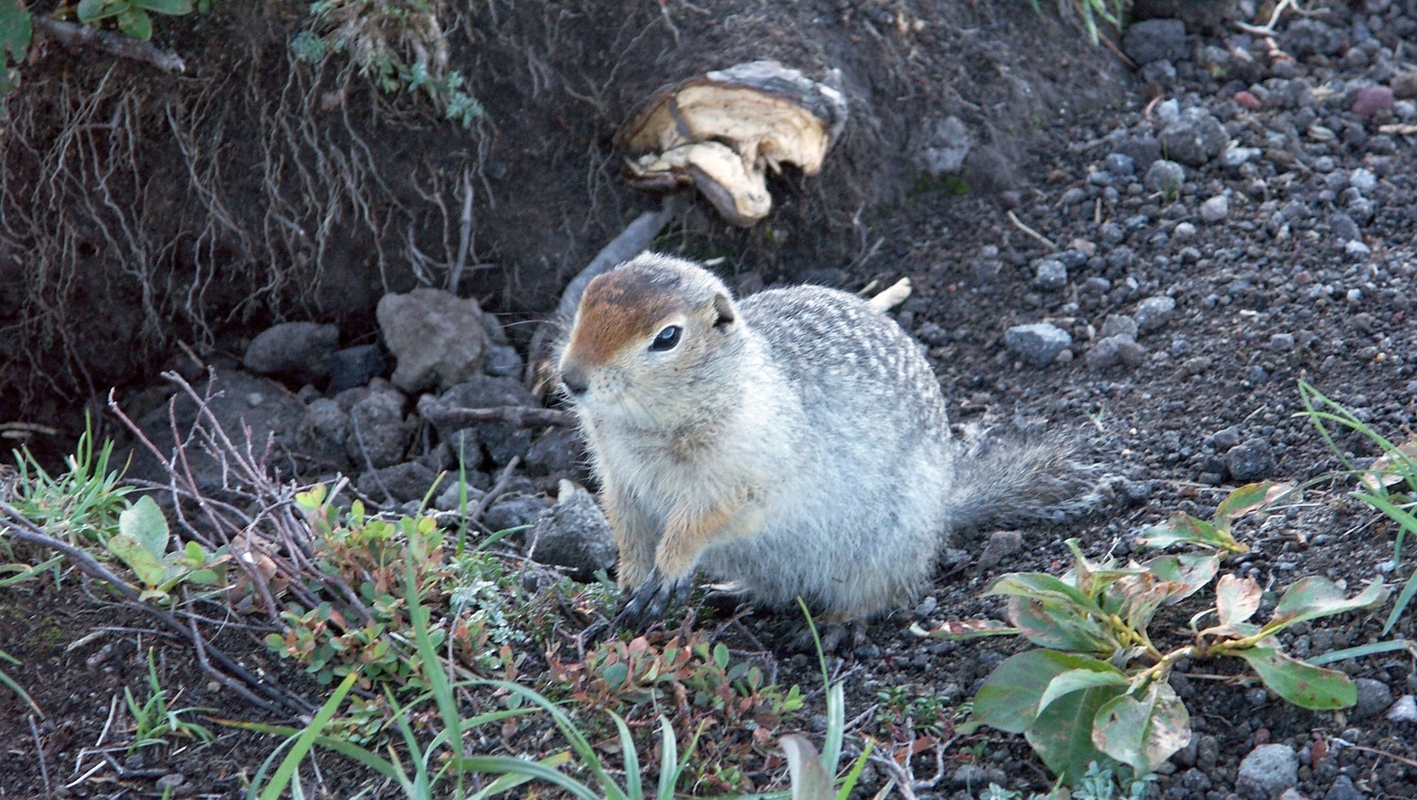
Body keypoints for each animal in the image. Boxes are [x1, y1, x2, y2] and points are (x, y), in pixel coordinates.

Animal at [556, 252, 1086, 630]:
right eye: (587, 298)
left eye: (667, 337)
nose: (571, 378)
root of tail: (943, 515)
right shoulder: (619, 478)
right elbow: (627, 530)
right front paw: (629, 586)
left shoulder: (743, 475)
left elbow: (701, 522)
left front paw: (667, 572)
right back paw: (732, 594)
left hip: (882, 550)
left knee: (879, 595)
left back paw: (836, 625)